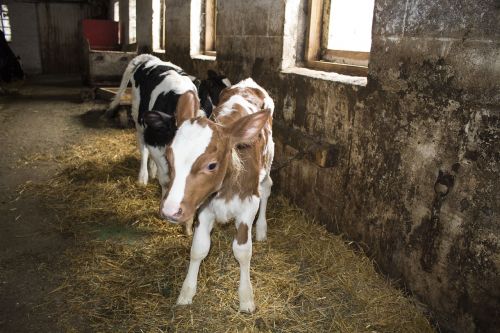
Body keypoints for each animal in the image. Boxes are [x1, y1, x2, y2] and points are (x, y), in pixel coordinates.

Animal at [160, 78, 276, 312]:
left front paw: (246, 297)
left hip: (269, 161)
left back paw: (261, 229)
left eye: (212, 165)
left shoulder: (248, 205)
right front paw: (187, 292)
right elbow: (198, 248)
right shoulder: (205, 208)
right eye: (168, 156)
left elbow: (243, 251)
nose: (169, 210)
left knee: (267, 187)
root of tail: (248, 83)